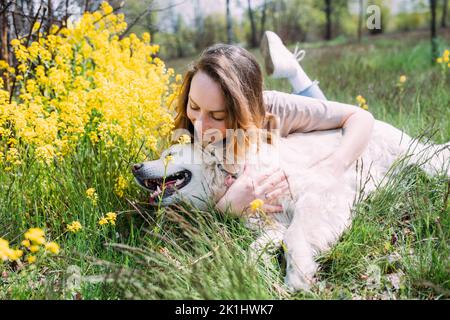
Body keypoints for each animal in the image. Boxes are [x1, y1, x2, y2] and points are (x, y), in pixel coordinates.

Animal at [133, 120, 450, 290]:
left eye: (169, 154)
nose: (135, 167)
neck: (237, 173)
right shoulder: (270, 226)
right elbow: (257, 247)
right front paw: (252, 269)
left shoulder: (319, 194)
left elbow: (295, 236)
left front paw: (297, 276)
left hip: (422, 162)